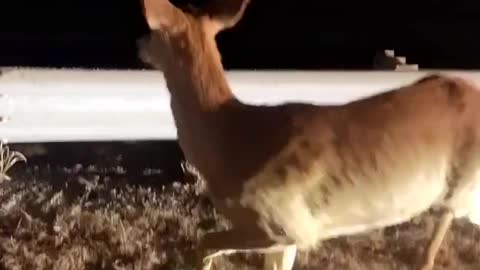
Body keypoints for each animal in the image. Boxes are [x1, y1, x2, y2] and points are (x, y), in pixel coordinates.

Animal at [136, 0, 480, 270]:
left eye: (153, 31)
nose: (138, 42)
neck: (229, 139)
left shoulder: (283, 224)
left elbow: (204, 242)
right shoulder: (283, 239)